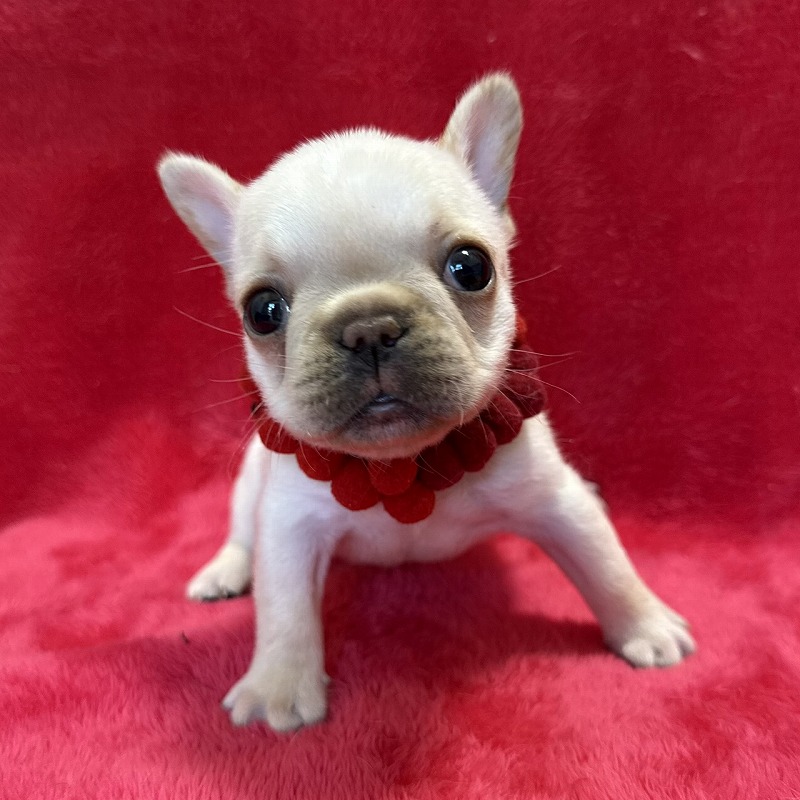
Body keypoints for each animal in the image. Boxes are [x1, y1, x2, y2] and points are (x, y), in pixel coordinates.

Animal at [157, 73, 695, 732]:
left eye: (471, 267)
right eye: (262, 310)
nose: (368, 327)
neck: (402, 467)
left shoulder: (556, 504)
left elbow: (606, 565)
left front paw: (646, 625)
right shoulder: (290, 525)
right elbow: (284, 610)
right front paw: (278, 688)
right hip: (248, 487)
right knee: (241, 535)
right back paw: (224, 572)